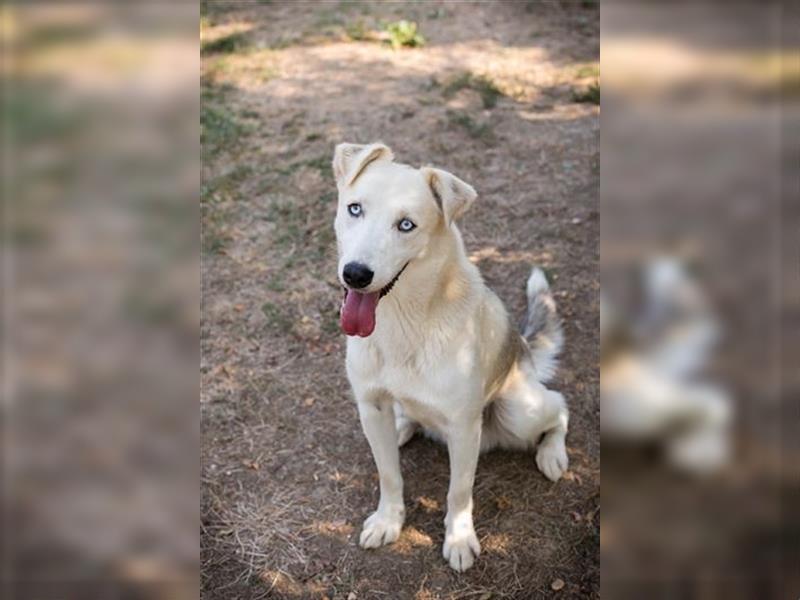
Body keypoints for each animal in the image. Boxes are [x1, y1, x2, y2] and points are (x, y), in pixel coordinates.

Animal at [332, 142, 568, 572]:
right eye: (355, 209)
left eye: (406, 225)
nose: (355, 274)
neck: (403, 321)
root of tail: (524, 349)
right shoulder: (371, 406)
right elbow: (389, 475)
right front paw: (389, 521)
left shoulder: (463, 426)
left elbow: (458, 492)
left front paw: (459, 539)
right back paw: (403, 427)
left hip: (519, 410)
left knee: (559, 406)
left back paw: (552, 454)